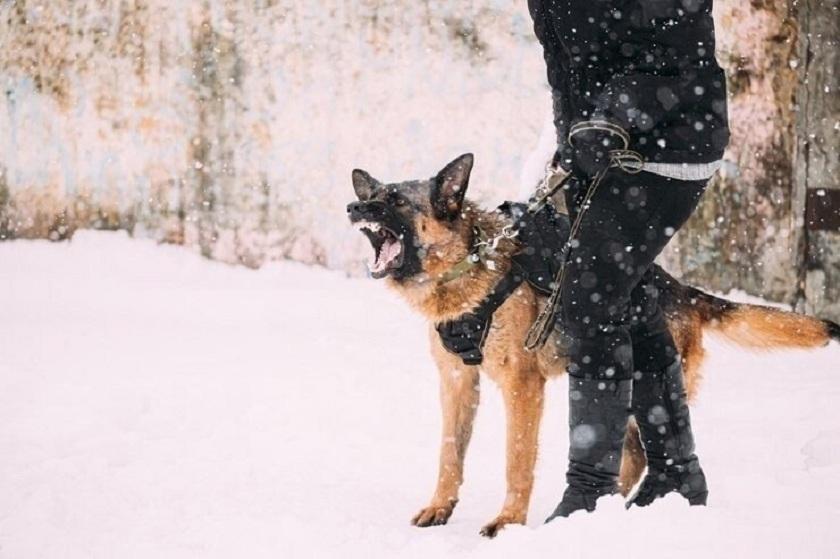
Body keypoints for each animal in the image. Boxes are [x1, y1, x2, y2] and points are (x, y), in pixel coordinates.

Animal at [344, 153, 836, 540]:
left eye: (397, 201)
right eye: (374, 195)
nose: (352, 205)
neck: (467, 267)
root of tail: (681, 290)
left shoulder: (522, 386)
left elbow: (516, 459)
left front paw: (508, 521)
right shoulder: (458, 381)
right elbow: (450, 453)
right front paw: (440, 507)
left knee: (640, 448)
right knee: (635, 452)